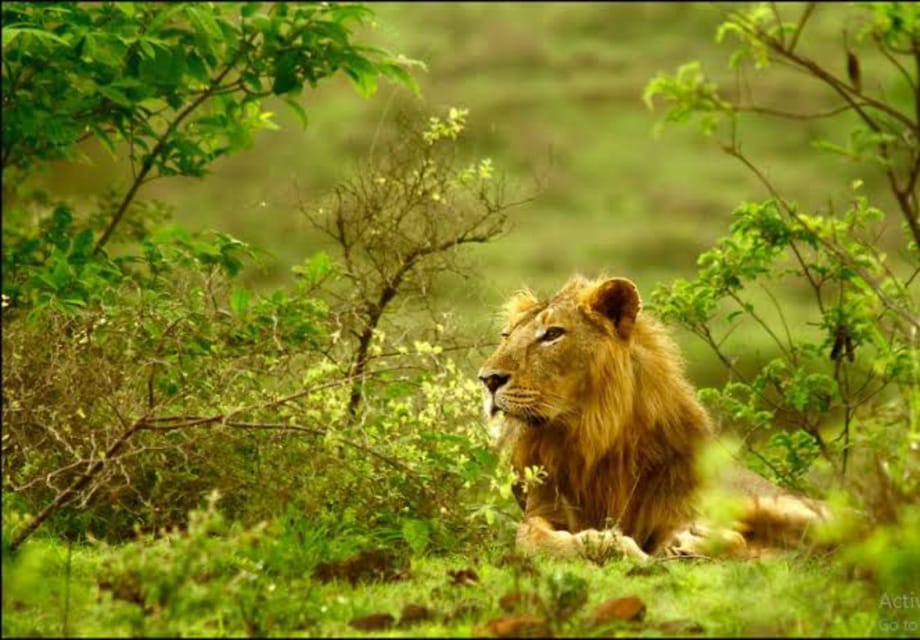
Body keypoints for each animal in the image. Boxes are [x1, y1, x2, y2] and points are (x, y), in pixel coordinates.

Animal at [482, 274, 832, 560]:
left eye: (553, 333)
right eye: (505, 335)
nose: (487, 379)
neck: (588, 435)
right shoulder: (543, 505)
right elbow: (529, 538)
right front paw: (608, 544)